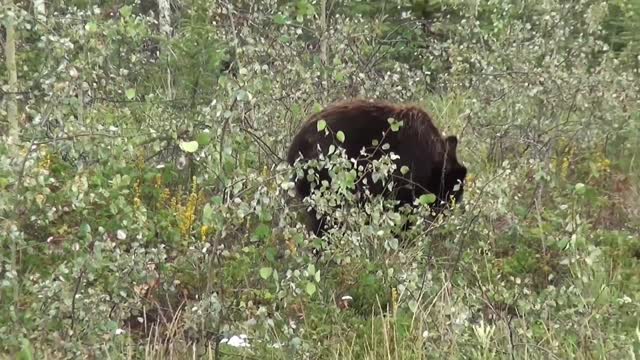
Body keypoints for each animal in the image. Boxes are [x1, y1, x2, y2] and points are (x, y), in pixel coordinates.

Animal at [288, 100, 468, 238]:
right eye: (452, 195)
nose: (446, 216)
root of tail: (294, 148)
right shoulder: (404, 176)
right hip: (322, 178)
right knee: (325, 219)